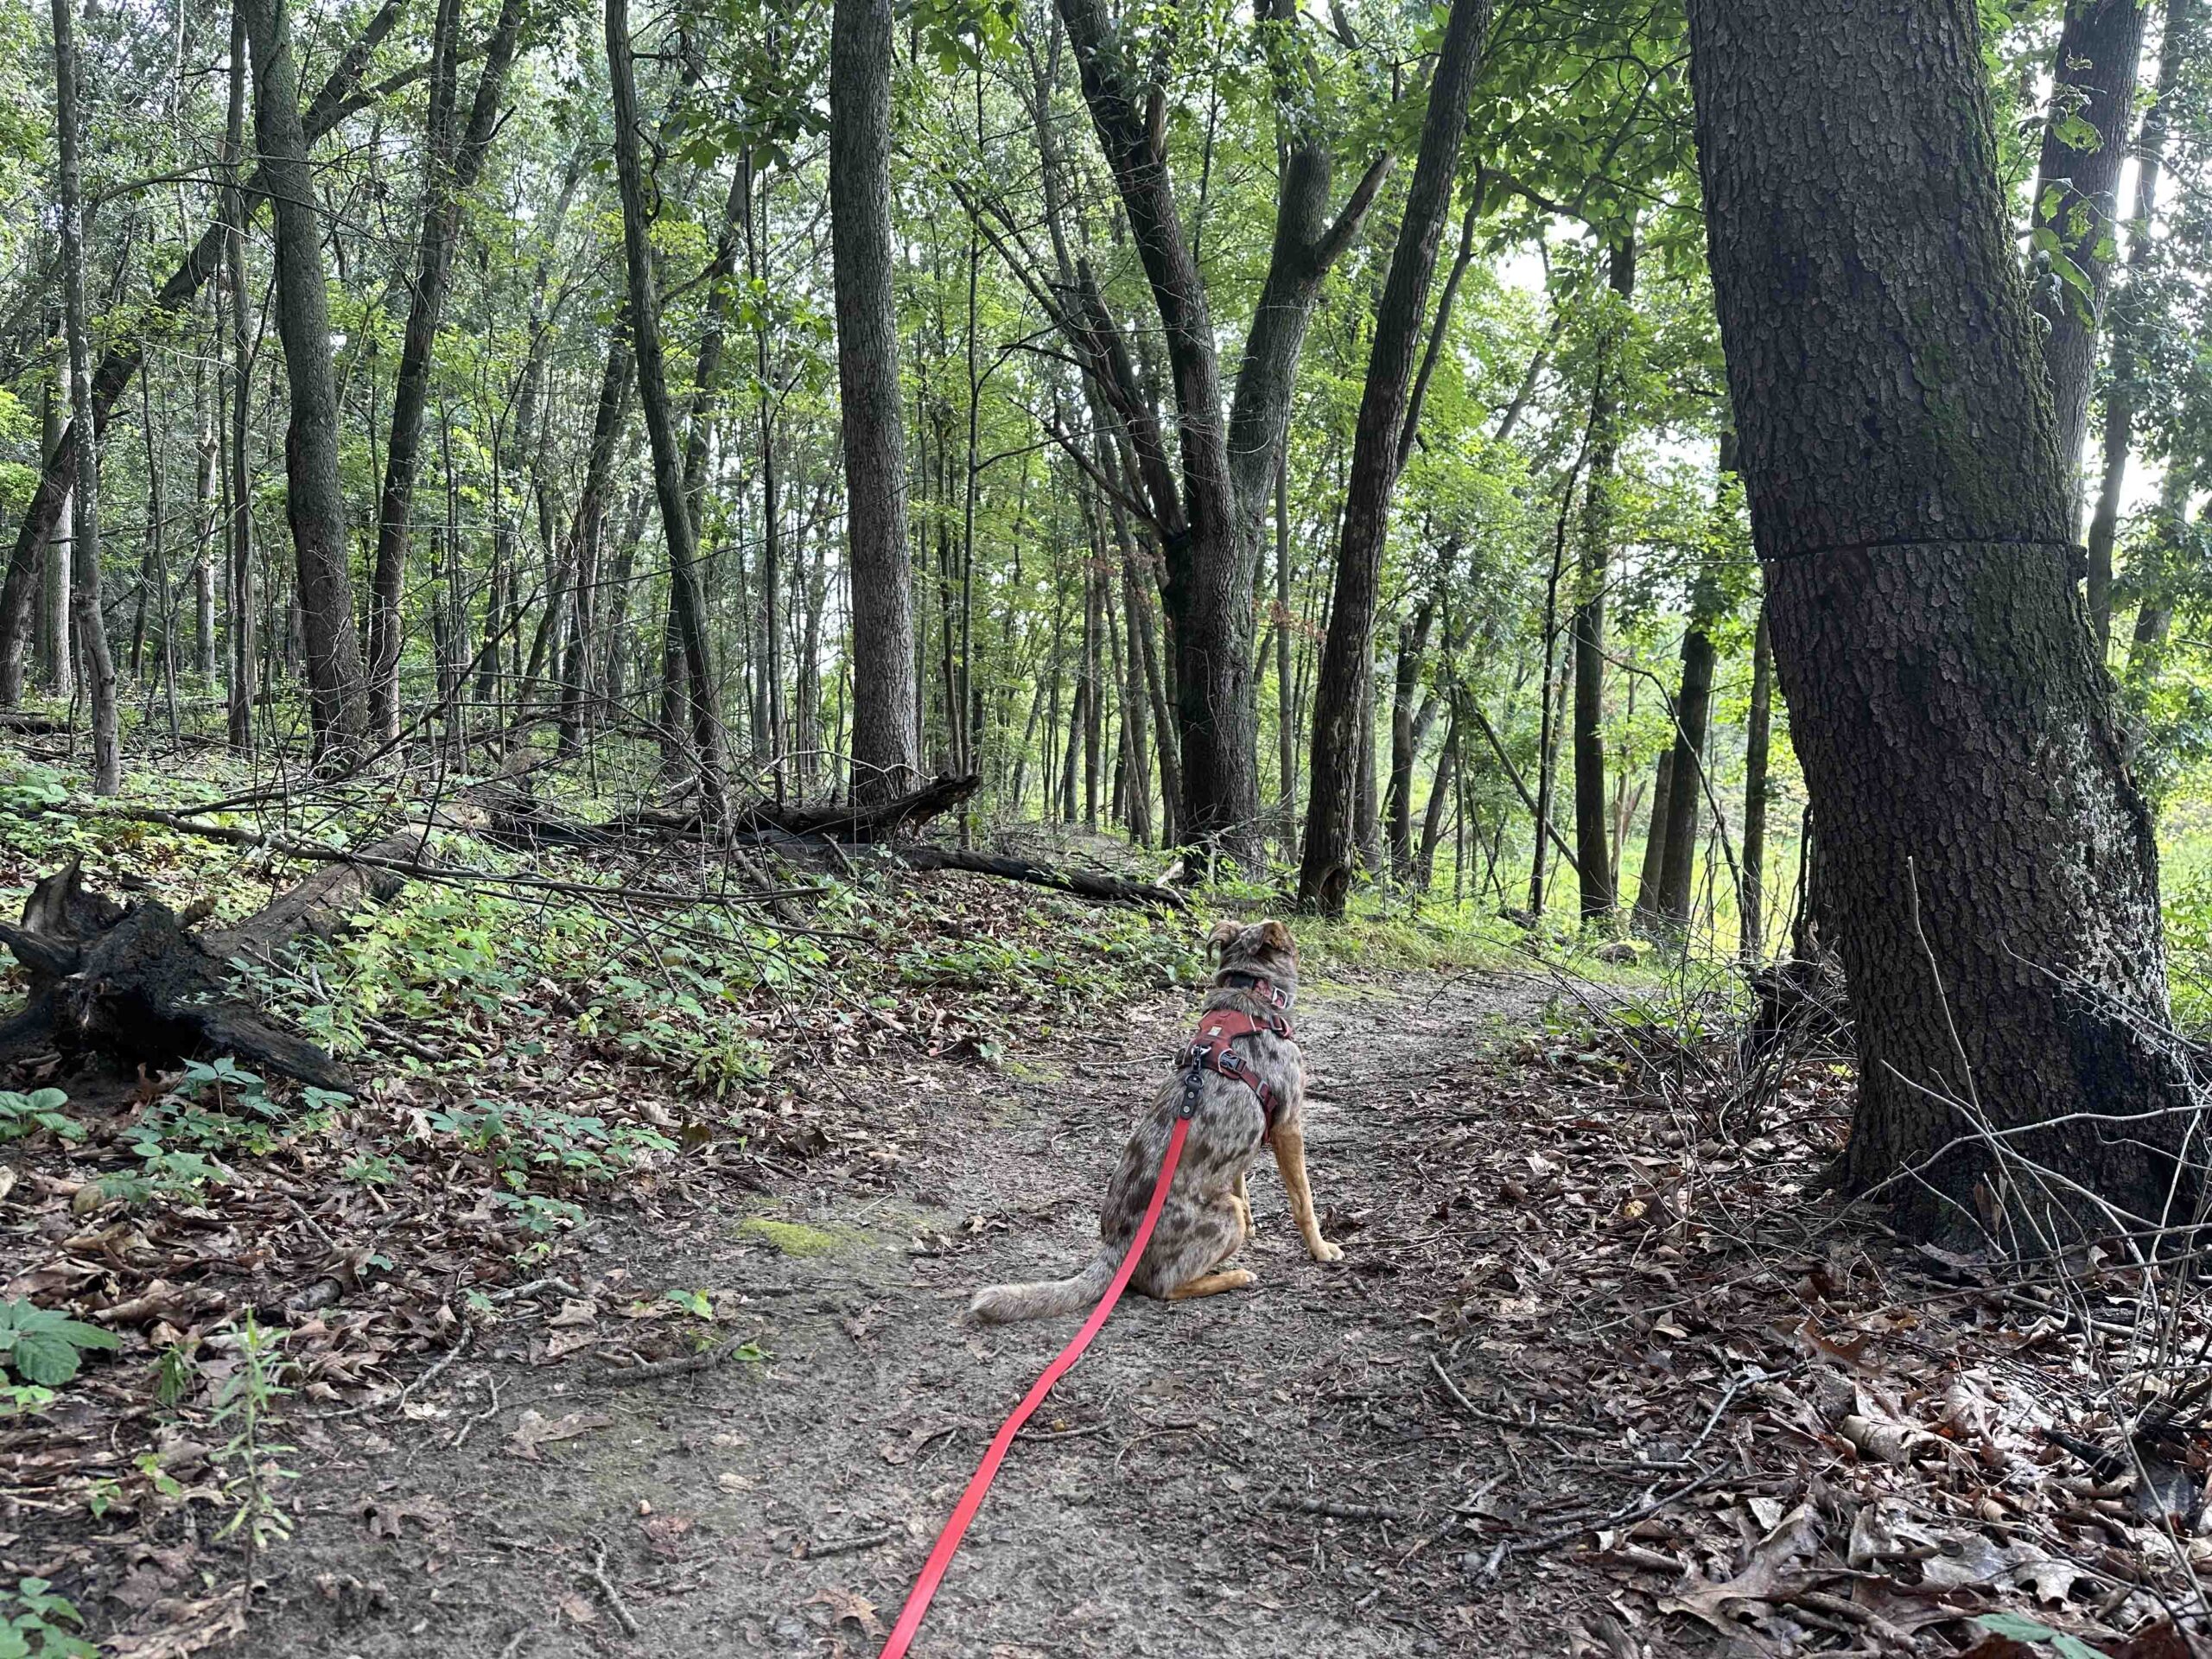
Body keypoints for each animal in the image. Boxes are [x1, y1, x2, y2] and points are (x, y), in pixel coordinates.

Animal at [964, 915, 1336, 1336]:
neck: (1250, 996)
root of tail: (1117, 1245)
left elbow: (1241, 1179)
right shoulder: (1289, 1123)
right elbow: (1304, 1201)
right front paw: (1322, 1250)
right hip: (1225, 1216)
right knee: (1162, 1287)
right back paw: (1233, 1277)